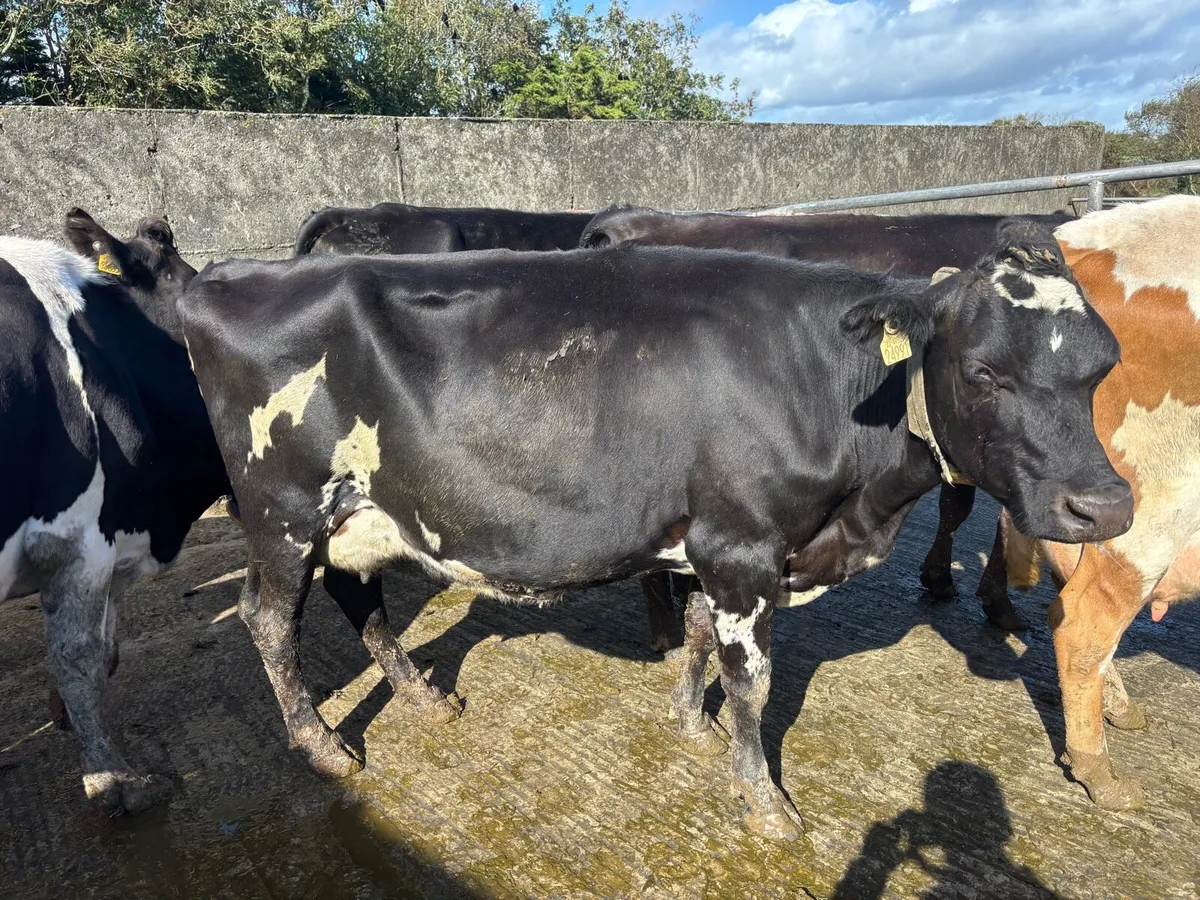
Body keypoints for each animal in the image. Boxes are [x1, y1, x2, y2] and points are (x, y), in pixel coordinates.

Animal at [178, 224, 1131, 841]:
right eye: (983, 371)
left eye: (1104, 368)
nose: (1106, 507)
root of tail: (223, 275)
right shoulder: (743, 544)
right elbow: (753, 679)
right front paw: (764, 799)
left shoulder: (711, 542)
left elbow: (702, 634)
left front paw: (689, 722)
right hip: (283, 512)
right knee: (271, 620)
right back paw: (321, 744)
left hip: (365, 511)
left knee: (361, 597)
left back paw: (421, 695)